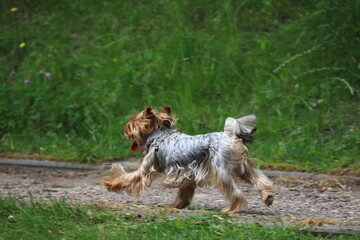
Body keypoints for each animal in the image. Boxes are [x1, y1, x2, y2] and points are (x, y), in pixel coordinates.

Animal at [102, 106, 274, 213]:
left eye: (133, 123)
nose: (125, 128)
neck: (159, 135)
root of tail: (229, 135)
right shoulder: (187, 174)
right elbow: (183, 193)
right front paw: (176, 205)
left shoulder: (146, 169)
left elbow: (127, 178)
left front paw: (110, 184)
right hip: (244, 168)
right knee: (259, 179)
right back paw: (268, 197)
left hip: (220, 171)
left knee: (235, 192)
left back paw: (231, 209)